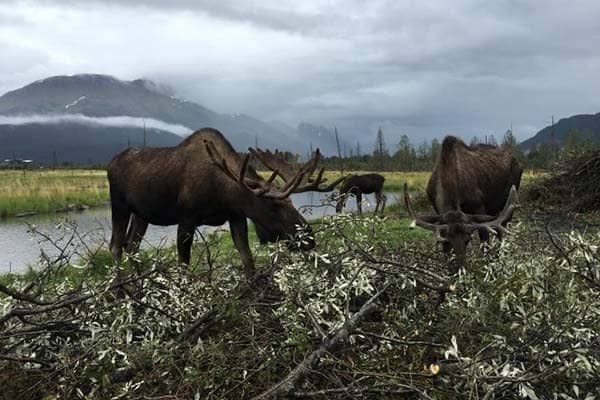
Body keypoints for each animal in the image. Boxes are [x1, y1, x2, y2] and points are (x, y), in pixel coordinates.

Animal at [105, 128, 326, 278]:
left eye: (291, 202)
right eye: (274, 206)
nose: (309, 237)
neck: (223, 191)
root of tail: (110, 164)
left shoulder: (236, 215)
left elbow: (247, 258)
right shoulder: (187, 218)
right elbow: (183, 265)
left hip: (141, 214)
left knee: (131, 245)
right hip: (119, 205)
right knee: (115, 246)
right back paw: (123, 290)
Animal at [404, 136, 524, 270]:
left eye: (467, 240)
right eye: (448, 241)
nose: (460, 268)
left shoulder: (479, 207)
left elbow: (484, 239)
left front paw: (486, 264)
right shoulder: (437, 209)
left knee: (504, 229)